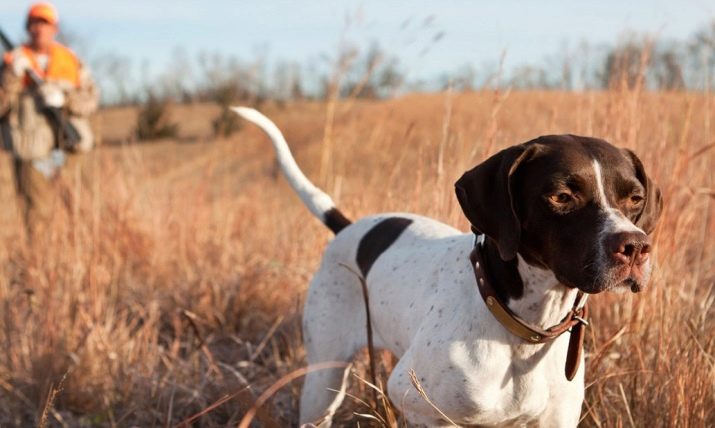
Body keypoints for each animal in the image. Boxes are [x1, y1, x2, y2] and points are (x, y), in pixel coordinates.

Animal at [233, 107, 662, 427]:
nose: (636, 247)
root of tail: (347, 228)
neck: (522, 328)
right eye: (561, 196)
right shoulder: (420, 405)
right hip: (324, 380)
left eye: (635, 198)